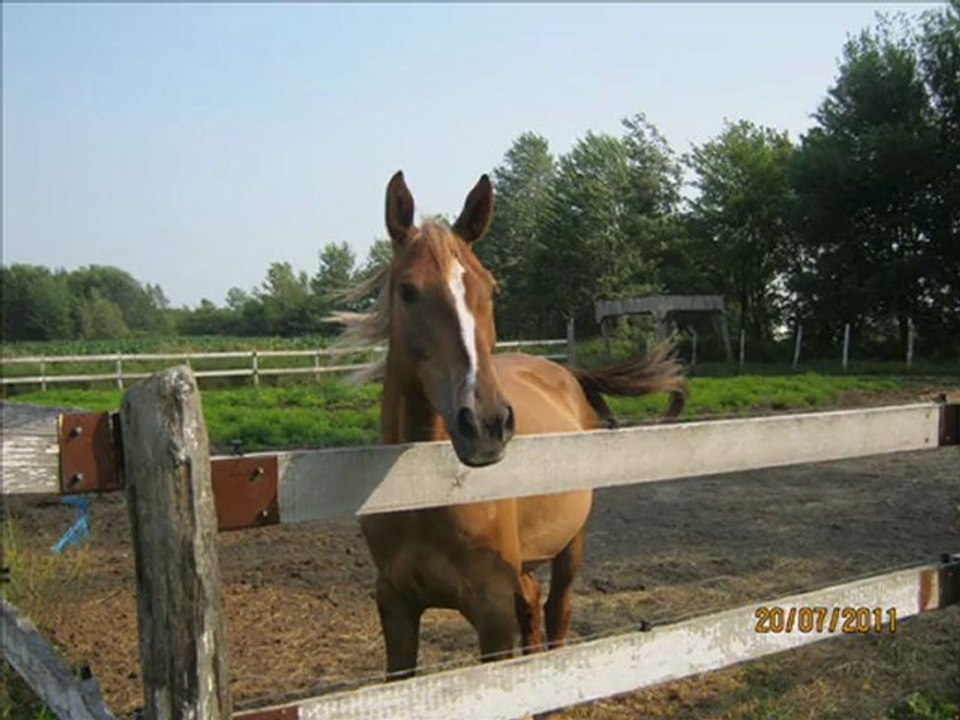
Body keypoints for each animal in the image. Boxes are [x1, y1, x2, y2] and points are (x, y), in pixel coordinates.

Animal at [336, 171, 687, 679]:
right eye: (407, 290)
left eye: (492, 288)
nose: (486, 423)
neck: (424, 492)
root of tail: (566, 373)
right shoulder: (396, 608)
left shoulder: (492, 613)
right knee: (535, 613)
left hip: (571, 546)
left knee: (556, 613)